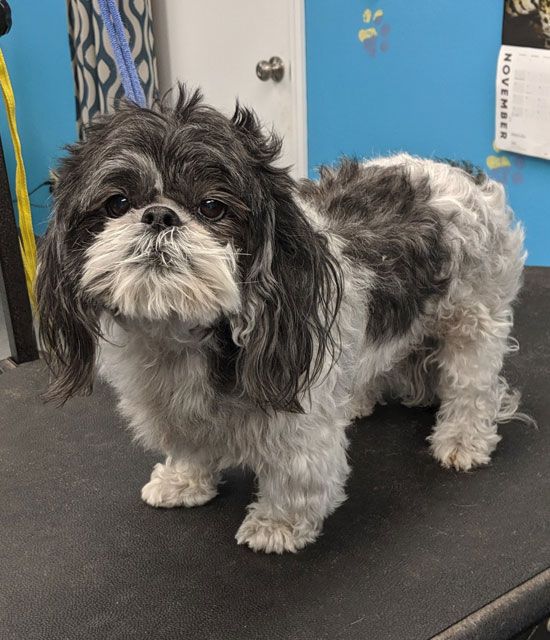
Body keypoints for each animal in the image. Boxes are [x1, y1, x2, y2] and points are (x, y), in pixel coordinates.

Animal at [36, 86, 528, 556]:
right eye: (117, 203)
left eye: (212, 207)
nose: (158, 214)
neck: (180, 336)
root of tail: (460, 173)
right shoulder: (175, 407)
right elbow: (191, 447)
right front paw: (183, 481)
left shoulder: (299, 416)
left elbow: (297, 476)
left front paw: (278, 525)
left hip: (475, 319)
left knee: (473, 387)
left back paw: (462, 440)